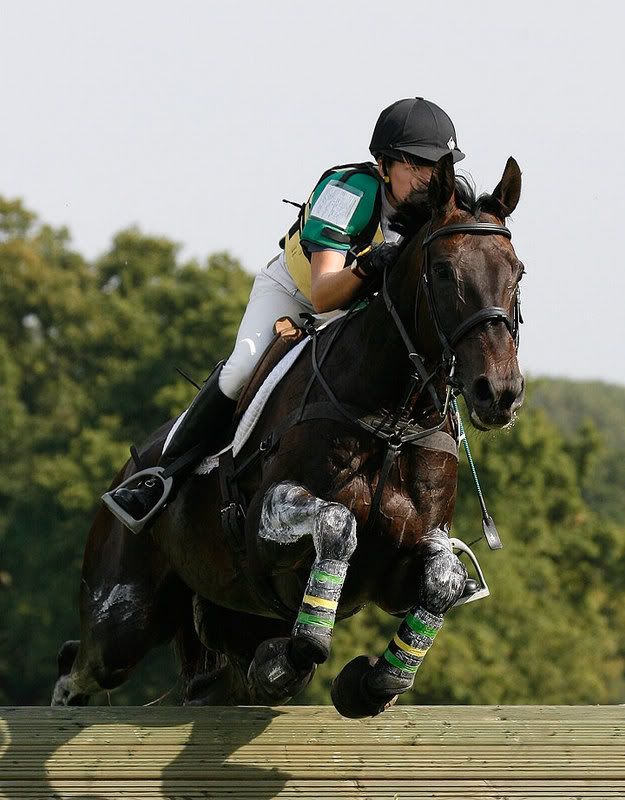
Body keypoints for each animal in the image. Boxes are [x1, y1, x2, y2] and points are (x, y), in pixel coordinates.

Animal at [52, 153, 525, 717]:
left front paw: (368, 682)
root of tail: (129, 467)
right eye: (444, 271)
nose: (498, 393)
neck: (390, 420)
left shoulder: (403, 564)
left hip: (226, 620)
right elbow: (338, 524)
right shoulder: (265, 521)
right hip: (123, 614)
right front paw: (305, 651)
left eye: (517, 272)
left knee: (212, 684)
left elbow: (442, 581)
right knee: (79, 664)